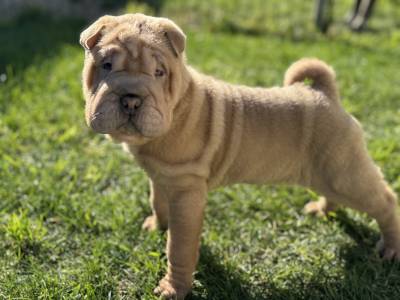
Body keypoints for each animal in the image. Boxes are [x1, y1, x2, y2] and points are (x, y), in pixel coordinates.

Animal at [79, 13, 400, 300]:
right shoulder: (161, 176)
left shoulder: (187, 191)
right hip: (330, 172)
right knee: (337, 195)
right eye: (106, 66)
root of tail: (325, 94)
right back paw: (323, 209)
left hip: (346, 174)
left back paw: (390, 248)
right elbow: (157, 202)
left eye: (159, 73)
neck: (177, 107)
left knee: (385, 201)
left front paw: (173, 288)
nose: (131, 99)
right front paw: (157, 225)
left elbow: (179, 247)